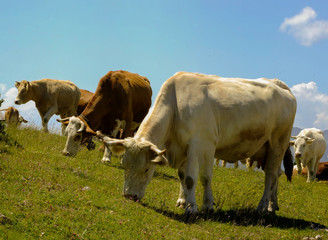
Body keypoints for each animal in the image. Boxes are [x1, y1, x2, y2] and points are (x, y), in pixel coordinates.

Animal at [97, 71, 298, 214]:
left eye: (147, 169)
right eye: (124, 165)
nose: (129, 196)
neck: (176, 107)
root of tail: (279, 84)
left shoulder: (203, 145)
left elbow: (197, 178)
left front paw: (198, 206)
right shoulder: (183, 148)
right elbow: (182, 175)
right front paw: (182, 201)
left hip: (278, 143)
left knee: (270, 175)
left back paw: (262, 207)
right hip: (270, 149)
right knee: (276, 175)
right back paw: (273, 205)